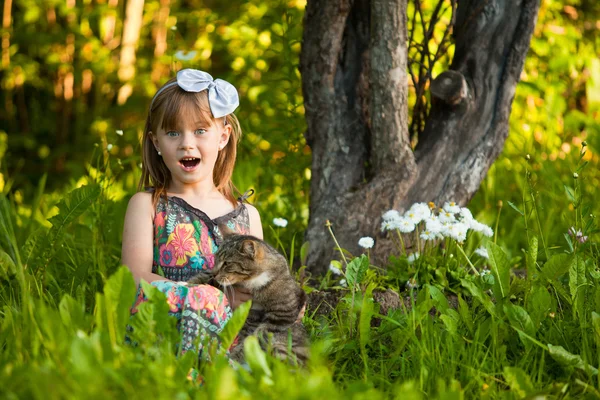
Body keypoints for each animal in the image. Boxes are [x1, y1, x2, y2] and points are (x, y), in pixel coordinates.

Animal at [188, 230, 310, 364]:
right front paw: (190, 282)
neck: (250, 282)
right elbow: (206, 275)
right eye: (215, 259)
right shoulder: (253, 314)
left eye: (227, 263)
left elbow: (256, 338)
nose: (215, 273)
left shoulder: (281, 316)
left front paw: (236, 357)